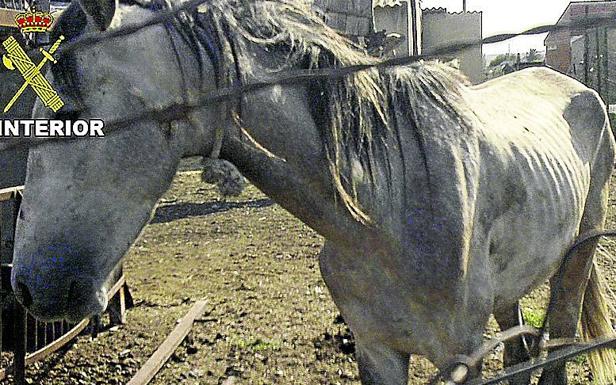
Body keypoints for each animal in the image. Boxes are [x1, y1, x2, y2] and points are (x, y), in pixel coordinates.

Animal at [7, 0, 616, 382]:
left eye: (70, 112)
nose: (31, 290)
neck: (388, 210)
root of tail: (576, 86)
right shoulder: (376, 351)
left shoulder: (461, 356)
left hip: (577, 258)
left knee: (558, 349)